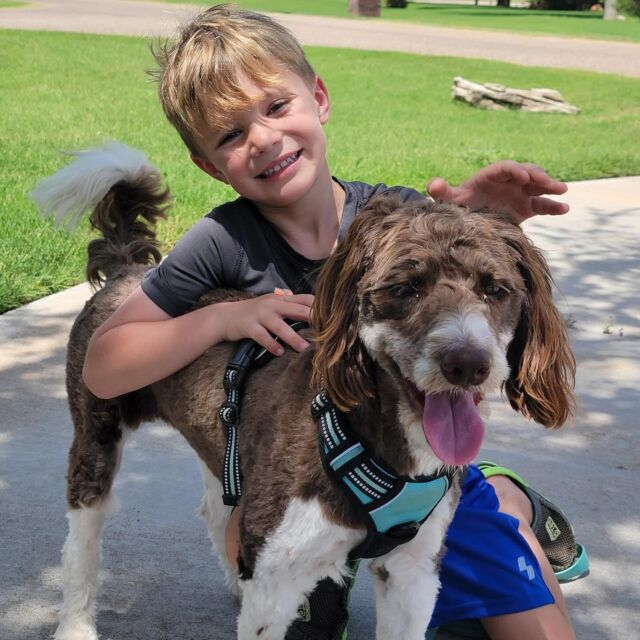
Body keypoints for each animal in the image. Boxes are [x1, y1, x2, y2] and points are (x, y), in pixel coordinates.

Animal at [32, 145, 576, 640]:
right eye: (405, 288)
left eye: (496, 289)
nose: (466, 363)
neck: (374, 441)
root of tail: (130, 271)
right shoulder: (279, 579)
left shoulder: (413, 573)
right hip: (95, 434)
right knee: (81, 540)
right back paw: (75, 625)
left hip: (223, 445)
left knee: (216, 506)